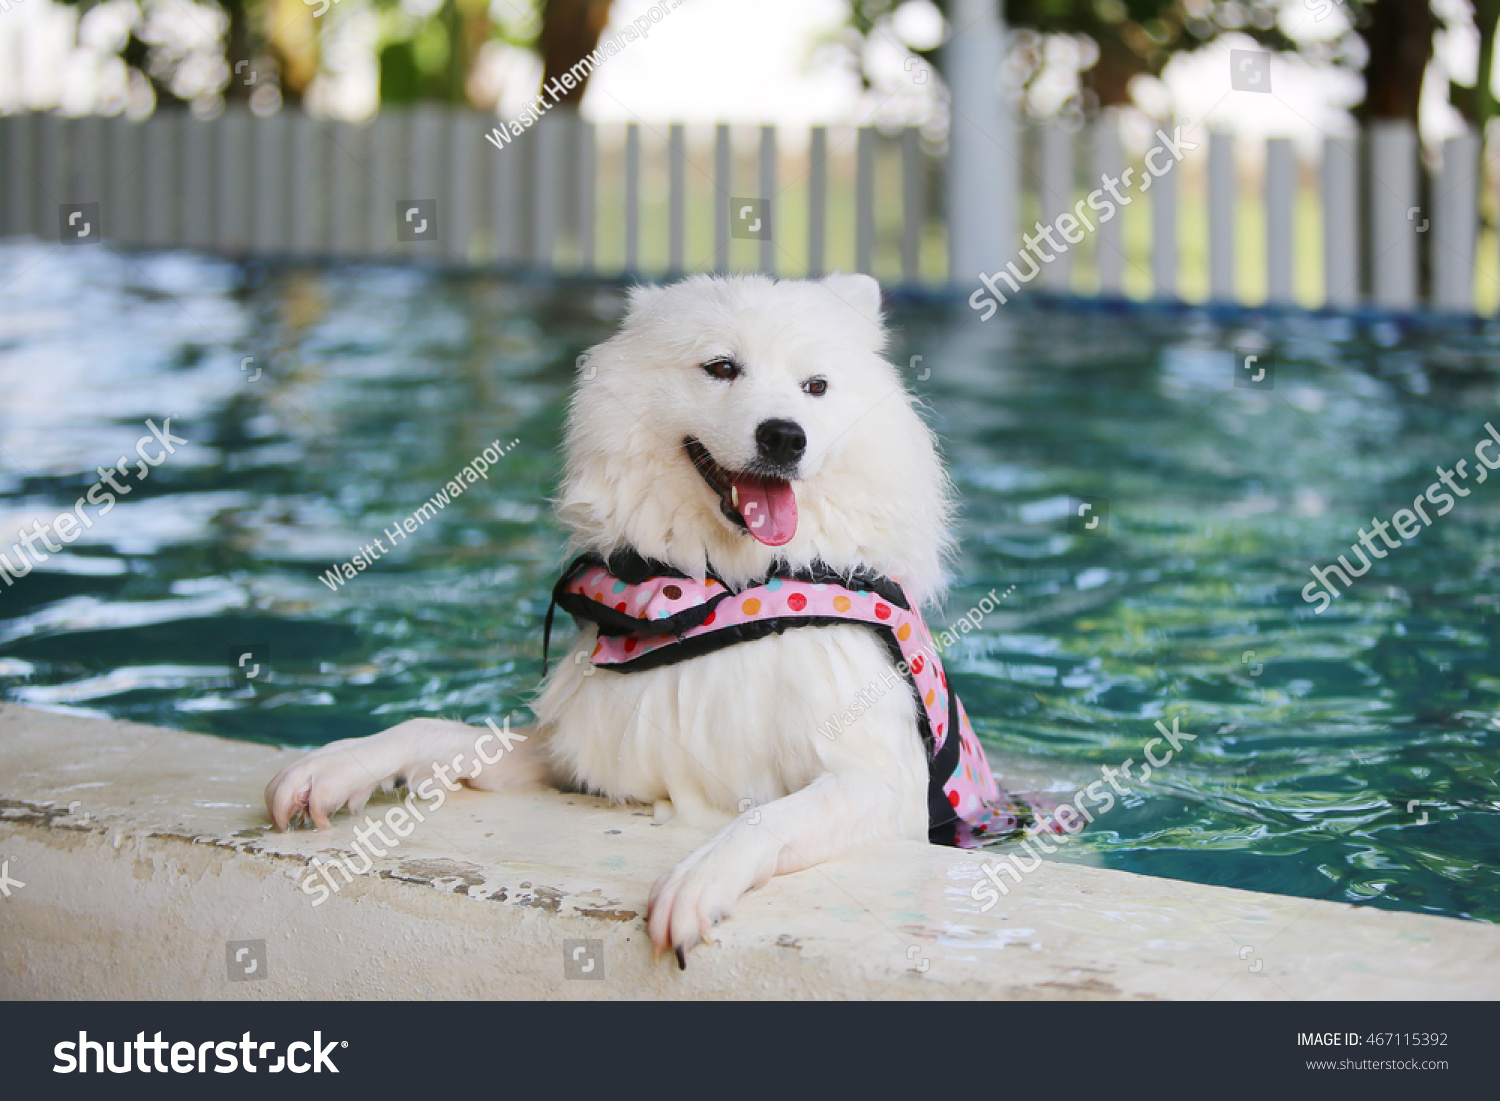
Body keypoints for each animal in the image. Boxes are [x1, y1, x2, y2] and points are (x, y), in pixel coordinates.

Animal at [267, 274, 1020, 966]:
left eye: (816, 386)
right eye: (722, 367)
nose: (784, 437)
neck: (723, 591)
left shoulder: (877, 782)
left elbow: (766, 817)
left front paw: (695, 881)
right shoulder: (578, 756)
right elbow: (435, 731)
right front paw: (339, 765)